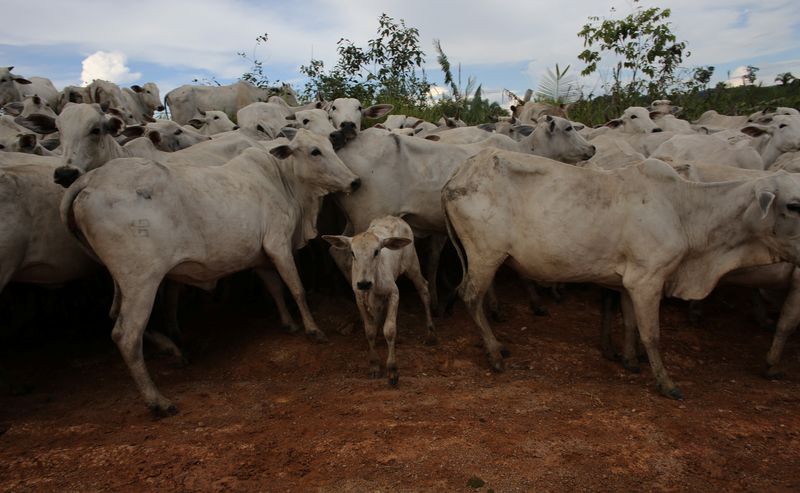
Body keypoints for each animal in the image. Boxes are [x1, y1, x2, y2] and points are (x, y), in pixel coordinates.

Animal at [61, 128, 360, 416]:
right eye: (314, 151)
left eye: (331, 145)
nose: (354, 181)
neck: (281, 178)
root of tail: (92, 179)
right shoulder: (278, 245)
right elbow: (296, 288)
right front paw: (312, 329)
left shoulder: (260, 256)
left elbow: (275, 287)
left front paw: (289, 323)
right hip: (141, 281)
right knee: (125, 334)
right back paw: (158, 401)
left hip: (121, 281)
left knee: (115, 316)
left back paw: (172, 349)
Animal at [322, 215, 434, 384]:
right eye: (352, 253)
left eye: (376, 251)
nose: (364, 283)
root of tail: (392, 217)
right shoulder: (359, 299)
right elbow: (369, 331)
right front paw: (374, 365)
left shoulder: (394, 293)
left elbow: (390, 330)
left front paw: (392, 370)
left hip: (413, 264)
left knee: (424, 290)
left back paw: (431, 333)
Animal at [444, 152, 800, 398]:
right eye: (793, 205)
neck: (683, 210)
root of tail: (457, 176)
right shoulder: (648, 279)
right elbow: (651, 334)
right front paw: (666, 382)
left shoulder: (630, 282)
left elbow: (629, 322)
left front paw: (630, 360)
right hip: (485, 254)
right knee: (470, 296)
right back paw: (494, 353)